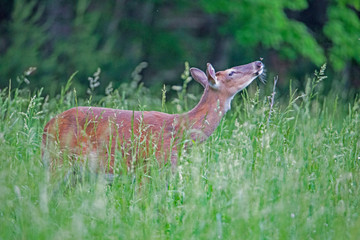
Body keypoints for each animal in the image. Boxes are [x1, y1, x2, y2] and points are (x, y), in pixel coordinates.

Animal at [43, 60, 264, 176]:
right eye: (231, 72)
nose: (259, 63)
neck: (182, 133)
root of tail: (46, 127)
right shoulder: (150, 165)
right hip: (59, 159)